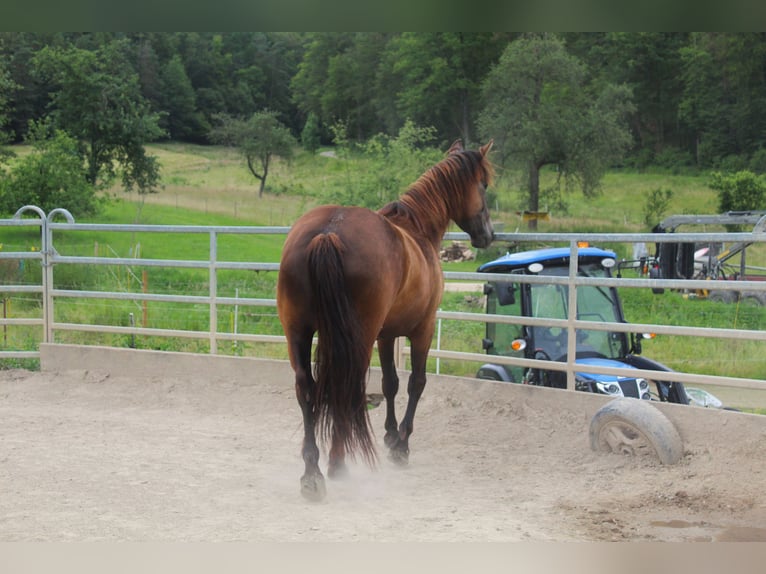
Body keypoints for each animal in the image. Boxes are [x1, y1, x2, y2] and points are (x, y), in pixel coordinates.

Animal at [280, 138, 496, 500]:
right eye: (483, 185)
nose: (488, 235)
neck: (417, 230)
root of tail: (328, 232)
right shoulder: (422, 329)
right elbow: (416, 383)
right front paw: (401, 445)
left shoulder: (386, 335)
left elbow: (390, 383)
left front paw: (390, 435)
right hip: (358, 338)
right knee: (347, 387)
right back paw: (337, 462)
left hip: (299, 332)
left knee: (307, 388)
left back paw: (312, 473)